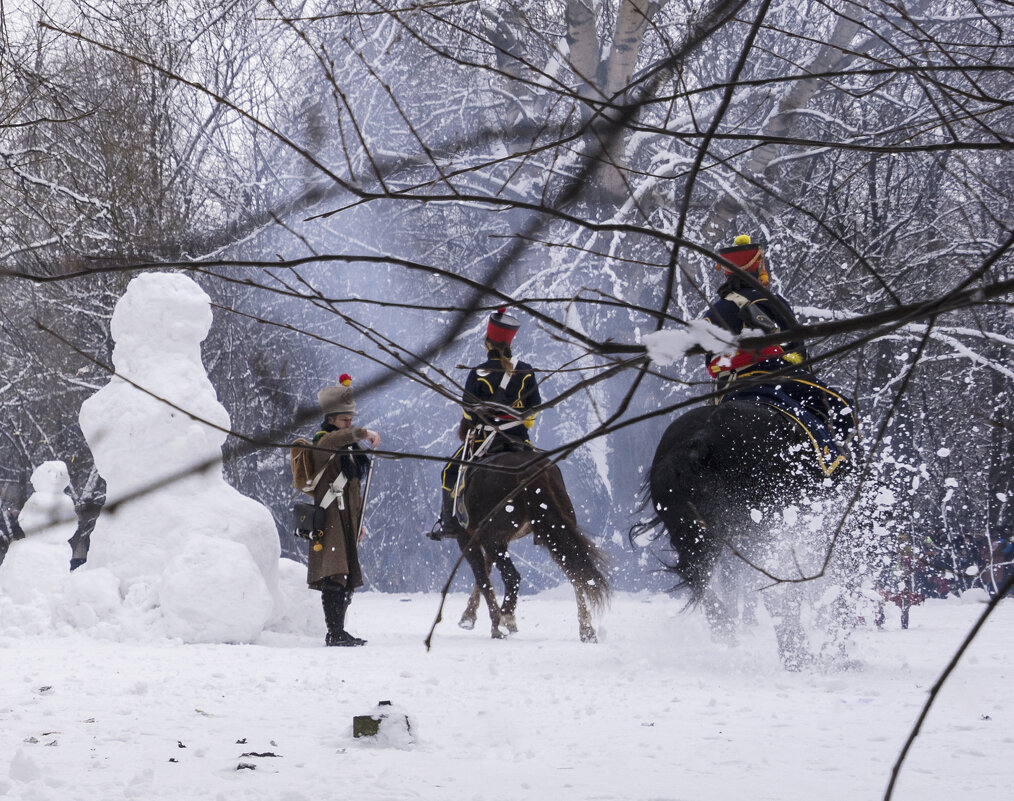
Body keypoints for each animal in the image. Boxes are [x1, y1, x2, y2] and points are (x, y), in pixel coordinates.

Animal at [454, 448, 608, 644]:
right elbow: (486, 571)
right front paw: (470, 616)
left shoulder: (468, 538)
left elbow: (482, 577)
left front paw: (481, 622)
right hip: (554, 529)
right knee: (577, 573)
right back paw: (587, 630)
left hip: (493, 537)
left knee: (512, 576)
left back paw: (505, 618)